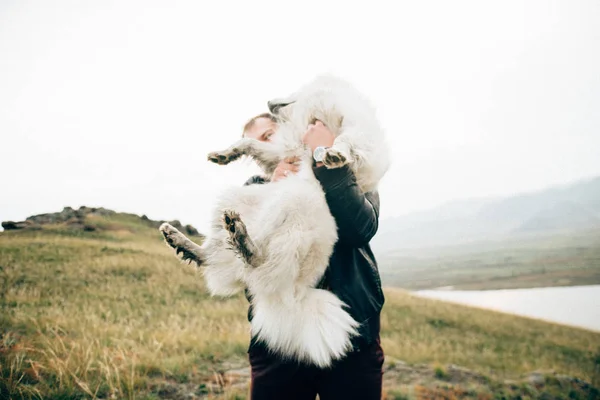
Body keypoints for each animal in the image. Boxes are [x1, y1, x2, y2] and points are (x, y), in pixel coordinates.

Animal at [159, 73, 392, 368]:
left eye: (296, 89)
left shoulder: (359, 134)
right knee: (221, 256)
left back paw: (242, 241)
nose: (268, 101)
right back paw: (187, 240)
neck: (316, 114)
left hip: (293, 204)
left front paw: (335, 153)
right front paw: (224, 153)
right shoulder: (283, 152)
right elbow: (250, 145)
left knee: (256, 260)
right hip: (235, 199)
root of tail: (296, 292)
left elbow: (346, 140)